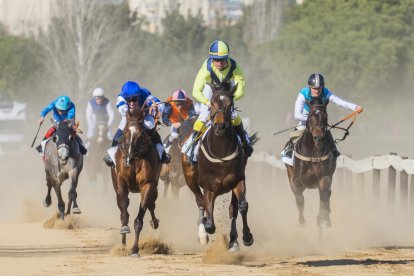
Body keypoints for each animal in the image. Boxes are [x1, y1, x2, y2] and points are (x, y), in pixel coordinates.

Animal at [111, 104, 163, 256]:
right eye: (125, 132)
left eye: (140, 135)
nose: (128, 158)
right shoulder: (121, 181)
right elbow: (124, 211)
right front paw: (124, 232)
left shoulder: (148, 184)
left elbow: (140, 218)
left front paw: (135, 250)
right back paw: (122, 245)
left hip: (155, 186)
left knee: (152, 204)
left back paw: (154, 222)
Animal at [182, 82, 254, 252]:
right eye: (212, 103)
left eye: (230, 104)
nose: (220, 125)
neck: (221, 152)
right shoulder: (209, 188)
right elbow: (210, 223)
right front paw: (205, 228)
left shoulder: (238, 180)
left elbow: (242, 206)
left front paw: (246, 237)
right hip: (190, 178)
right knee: (200, 202)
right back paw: (202, 234)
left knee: (233, 209)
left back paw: (233, 241)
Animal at [286, 98, 338, 227]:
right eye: (310, 116)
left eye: (325, 116)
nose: (318, 137)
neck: (314, 154)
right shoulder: (297, 180)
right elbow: (299, 199)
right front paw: (302, 222)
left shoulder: (325, 177)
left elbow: (324, 196)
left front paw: (324, 219)